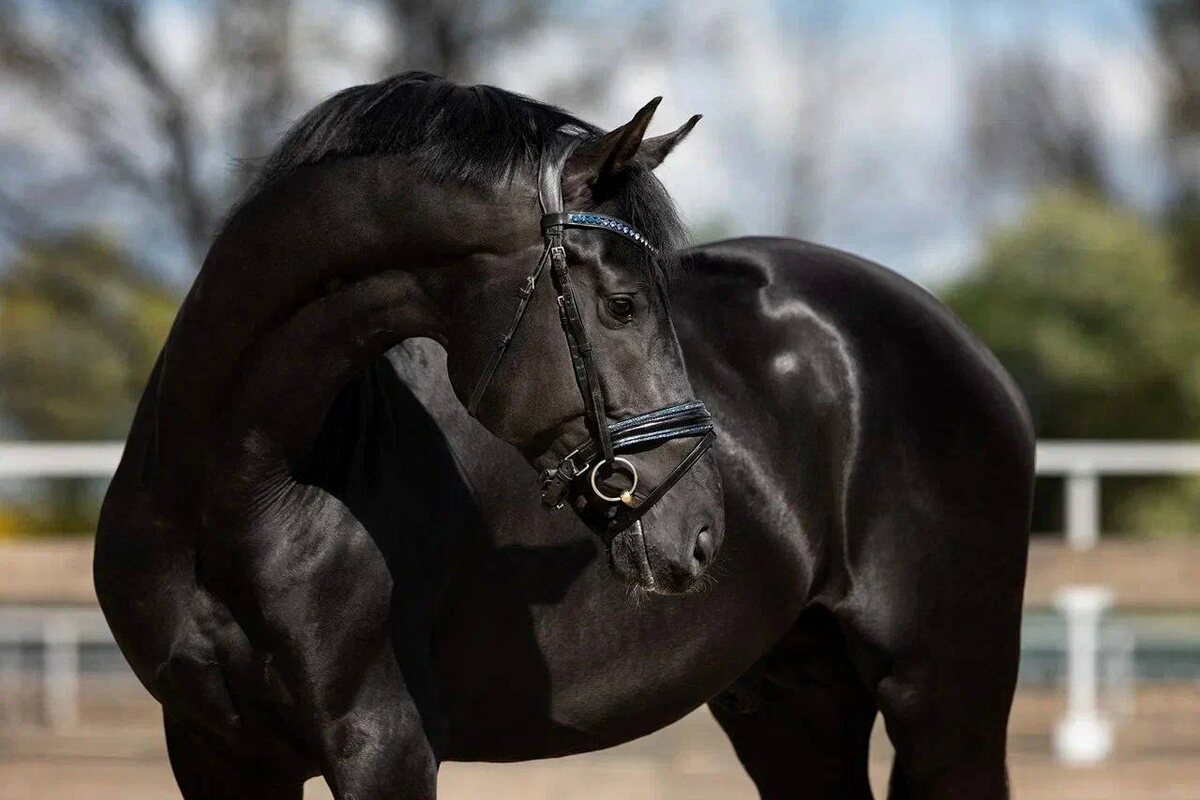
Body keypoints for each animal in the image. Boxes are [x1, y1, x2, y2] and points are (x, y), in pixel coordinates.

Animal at [94, 74, 1034, 799]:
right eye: (622, 304)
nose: (702, 532)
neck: (235, 491)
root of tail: (966, 347)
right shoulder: (215, 753)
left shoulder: (382, 745)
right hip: (793, 699)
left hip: (942, 697)